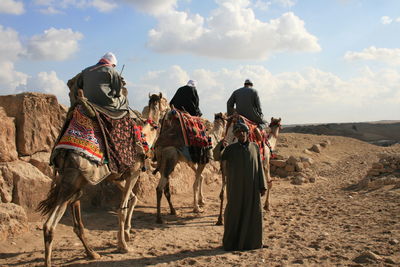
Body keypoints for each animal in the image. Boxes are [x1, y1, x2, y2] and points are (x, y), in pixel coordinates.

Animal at [38, 93, 166, 267]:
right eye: (165, 101)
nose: (171, 106)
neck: (145, 136)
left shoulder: (116, 176)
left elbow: (133, 199)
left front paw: (127, 234)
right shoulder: (133, 172)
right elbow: (122, 208)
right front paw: (123, 245)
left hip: (72, 183)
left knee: (70, 222)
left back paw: (92, 253)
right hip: (72, 181)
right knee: (49, 225)